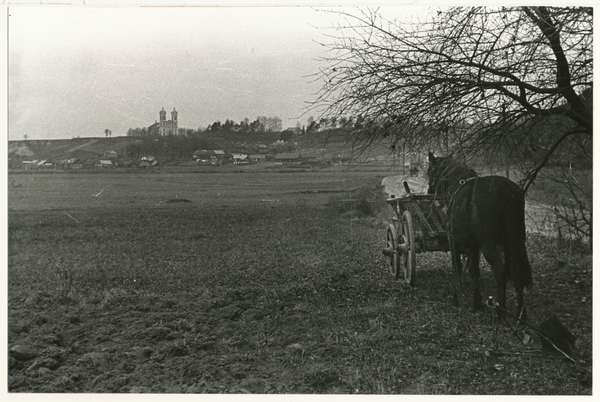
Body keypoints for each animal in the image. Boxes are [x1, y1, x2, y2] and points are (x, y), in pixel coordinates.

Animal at [428, 152, 532, 322]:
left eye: (431, 172)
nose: (430, 191)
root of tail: (505, 191)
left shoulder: (454, 241)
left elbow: (458, 267)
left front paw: (458, 297)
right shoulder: (473, 246)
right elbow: (474, 272)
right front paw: (476, 303)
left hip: (488, 245)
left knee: (500, 271)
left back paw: (501, 311)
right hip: (514, 242)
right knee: (517, 273)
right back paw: (520, 315)